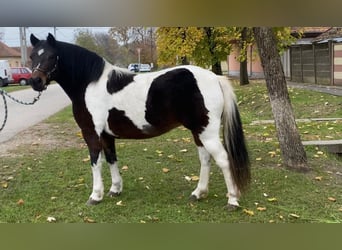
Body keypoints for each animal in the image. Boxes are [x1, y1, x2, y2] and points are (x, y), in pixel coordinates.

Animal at [28, 33, 250, 209]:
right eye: (32, 56)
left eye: (51, 56)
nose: (35, 81)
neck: (90, 84)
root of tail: (215, 78)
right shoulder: (107, 135)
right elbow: (111, 159)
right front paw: (115, 189)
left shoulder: (91, 133)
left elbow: (95, 162)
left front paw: (95, 196)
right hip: (198, 131)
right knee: (205, 159)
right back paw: (198, 193)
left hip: (207, 132)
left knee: (223, 159)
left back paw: (232, 201)